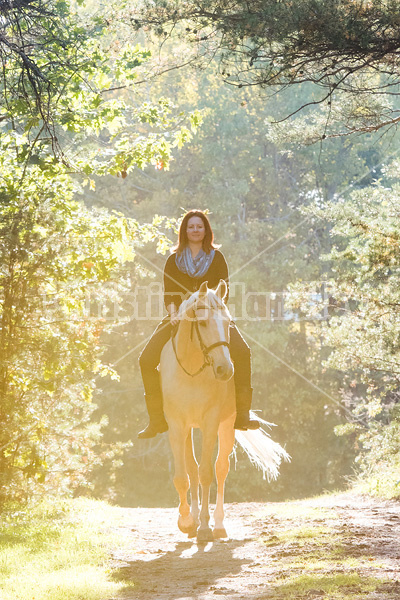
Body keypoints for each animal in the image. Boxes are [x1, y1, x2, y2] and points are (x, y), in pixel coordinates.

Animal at [160, 278, 290, 540]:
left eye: (228, 322)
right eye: (202, 322)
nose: (225, 370)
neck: (192, 371)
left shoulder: (211, 423)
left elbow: (207, 473)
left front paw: (204, 527)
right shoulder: (177, 426)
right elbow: (182, 477)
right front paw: (186, 521)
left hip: (227, 425)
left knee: (220, 469)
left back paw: (218, 525)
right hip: (189, 429)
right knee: (192, 469)